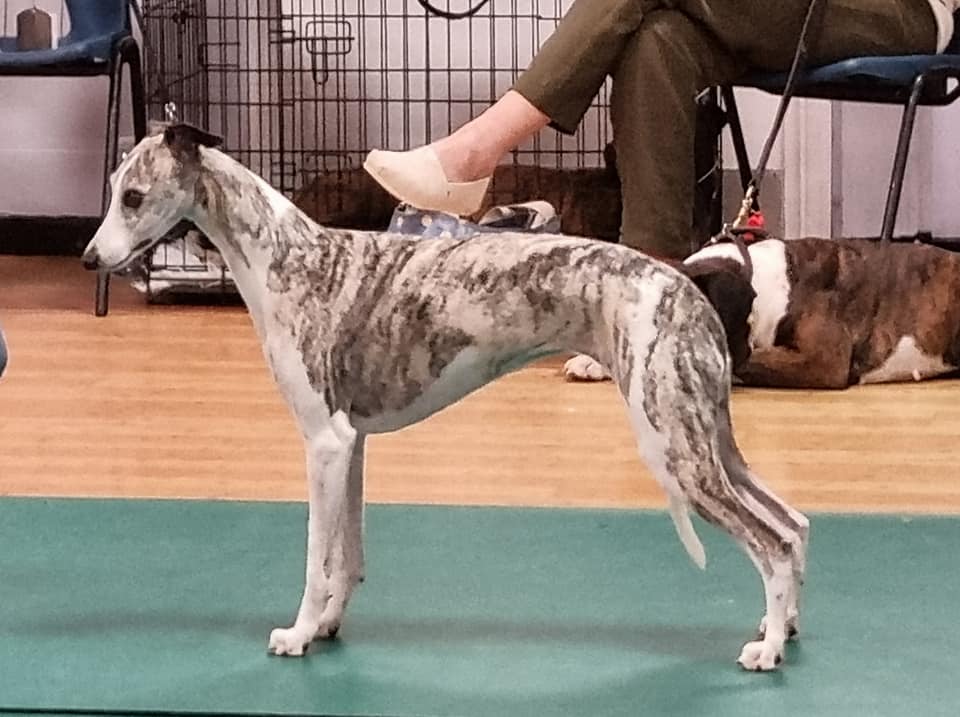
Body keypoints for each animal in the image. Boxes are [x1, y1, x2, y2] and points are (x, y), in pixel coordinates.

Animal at [82, 124, 808, 671]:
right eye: (113, 190)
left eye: (134, 195)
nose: (90, 259)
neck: (292, 258)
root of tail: (685, 286)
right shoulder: (351, 443)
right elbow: (349, 556)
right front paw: (329, 625)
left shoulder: (322, 443)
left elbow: (318, 558)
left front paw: (298, 634)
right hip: (707, 437)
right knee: (795, 524)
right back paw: (785, 628)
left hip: (675, 448)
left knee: (771, 542)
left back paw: (767, 649)